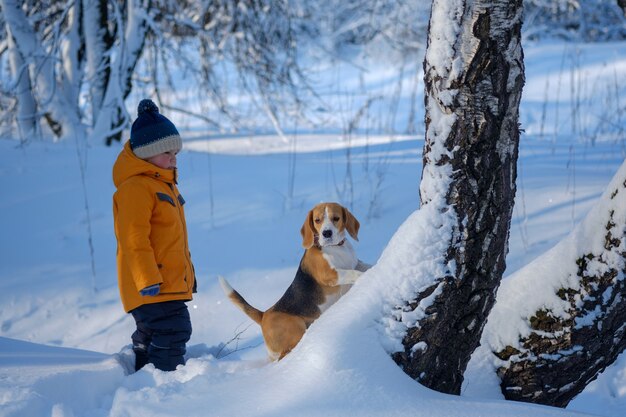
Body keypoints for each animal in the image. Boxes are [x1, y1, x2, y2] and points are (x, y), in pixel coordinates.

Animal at [218, 203, 368, 360]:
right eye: (317, 220)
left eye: (336, 218)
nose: (326, 233)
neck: (337, 248)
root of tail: (264, 315)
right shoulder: (330, 275)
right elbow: (353, 273)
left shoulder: (355, 264)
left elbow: (362, 266)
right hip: (296, 330)